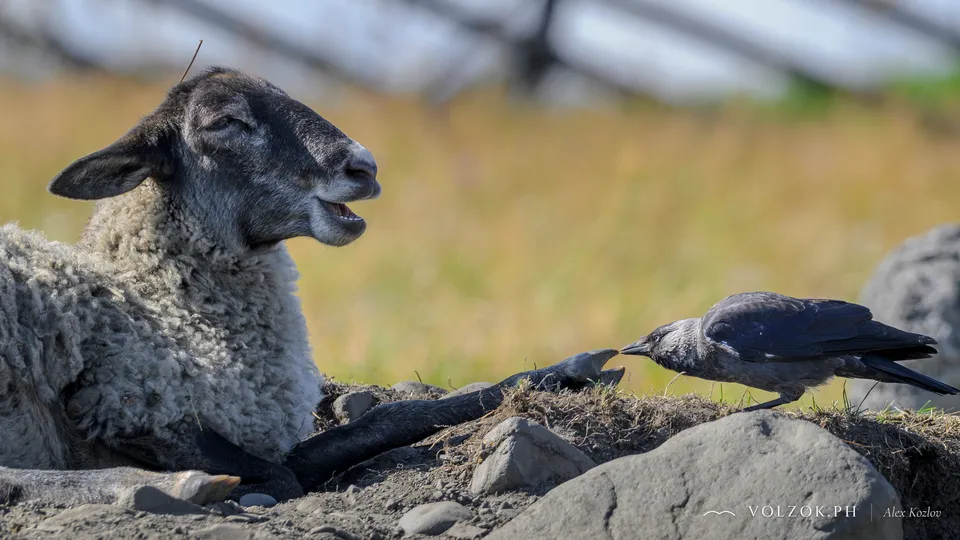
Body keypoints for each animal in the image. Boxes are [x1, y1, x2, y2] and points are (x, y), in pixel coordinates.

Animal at [0, 67, 623, 505]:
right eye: (224, 122)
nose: (363, 166)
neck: (161, 304)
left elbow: (382, 421)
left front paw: (573, 369)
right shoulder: (131, 409)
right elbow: (284, 475)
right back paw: (172, 487)